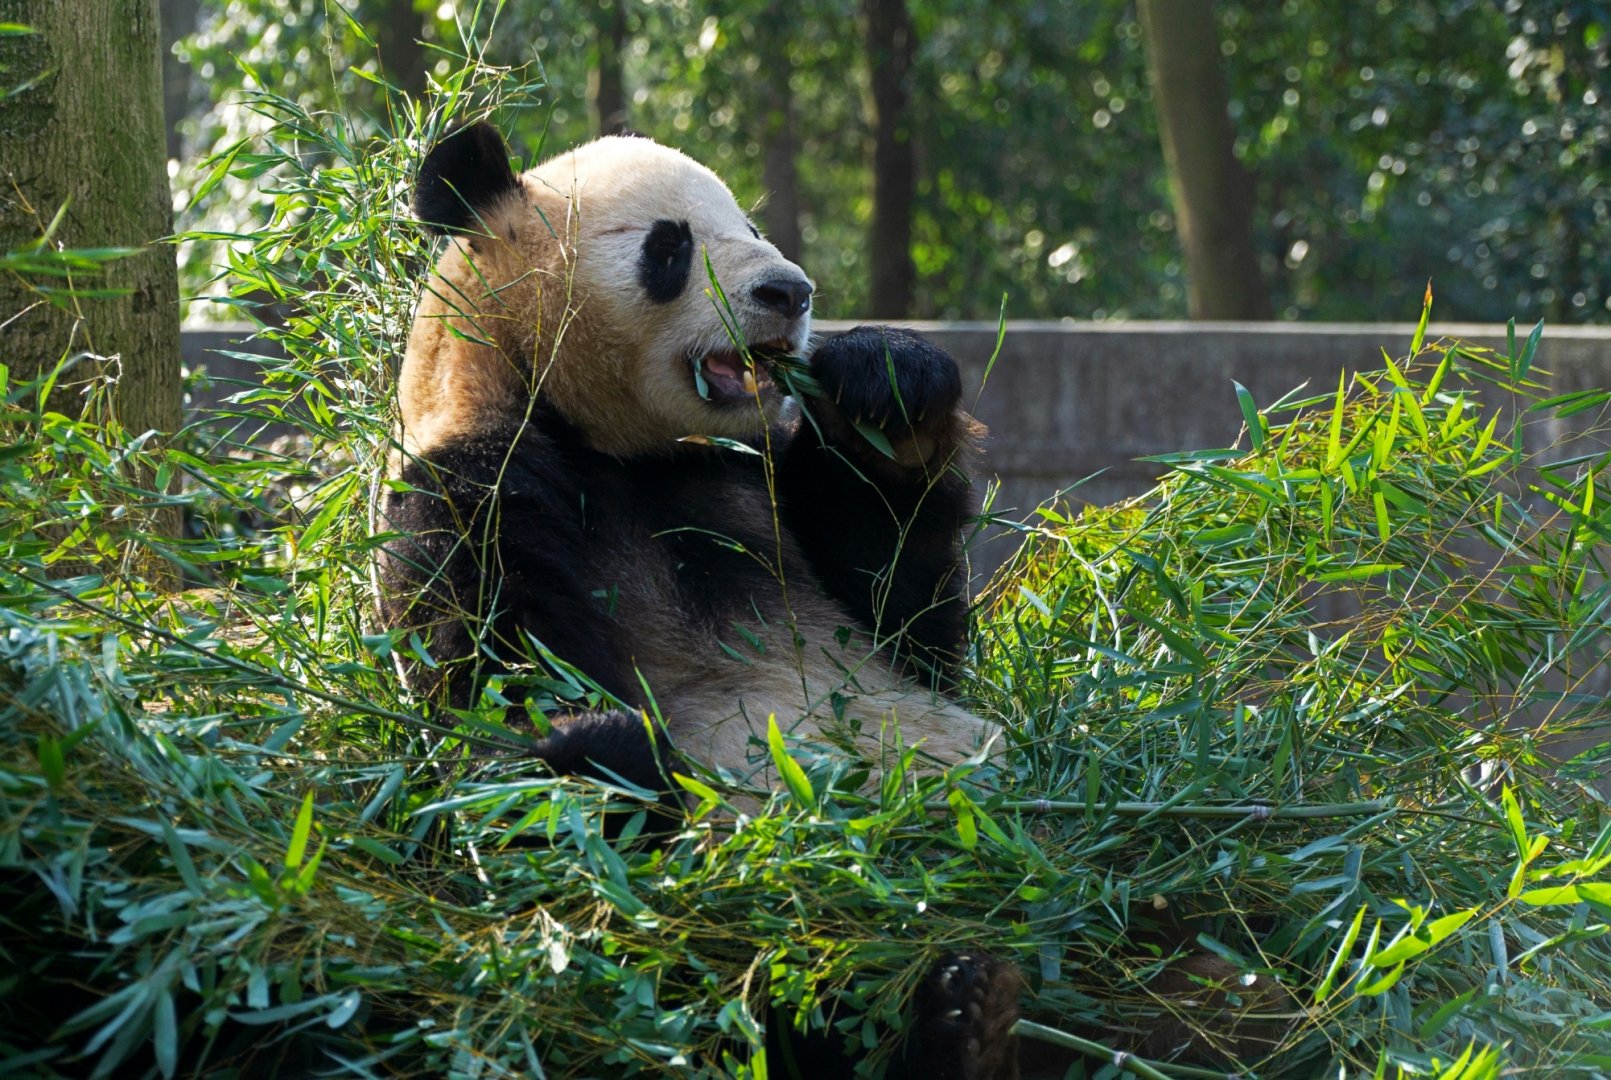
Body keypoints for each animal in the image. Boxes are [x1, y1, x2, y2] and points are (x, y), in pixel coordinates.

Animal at [376, 122, 1023, 1079]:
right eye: (669, 246)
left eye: (751, 224)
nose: (789, 291)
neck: (619, 449)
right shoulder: (470, 483)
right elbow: (495, 675)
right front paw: (598, 742)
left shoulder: (750, 488)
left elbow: (901, 616)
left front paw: (886, 379)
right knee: (735, 966)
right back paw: (936, 1015)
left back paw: (967, 1004)